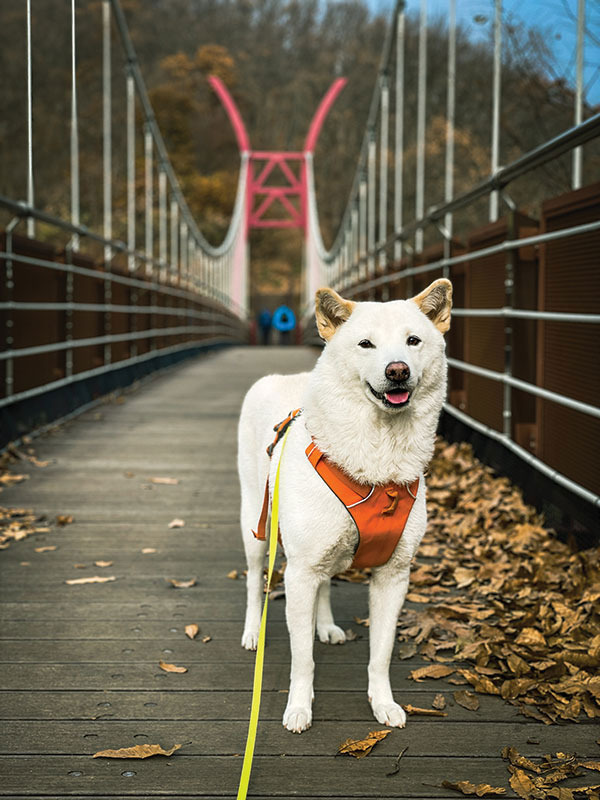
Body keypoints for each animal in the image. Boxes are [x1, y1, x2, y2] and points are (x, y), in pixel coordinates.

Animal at [237, 280, 452, 732]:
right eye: (366, 344)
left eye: (413, 341)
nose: (397, 370)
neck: (378, 463)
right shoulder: (298, 573)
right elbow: (302, 659)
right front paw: (299, 708)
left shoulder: (393, 575)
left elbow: (381, 655)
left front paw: (382, 703)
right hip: (256, 525)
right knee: (252, 579)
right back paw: (251, 632)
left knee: (324, 584)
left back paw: (326, 625)